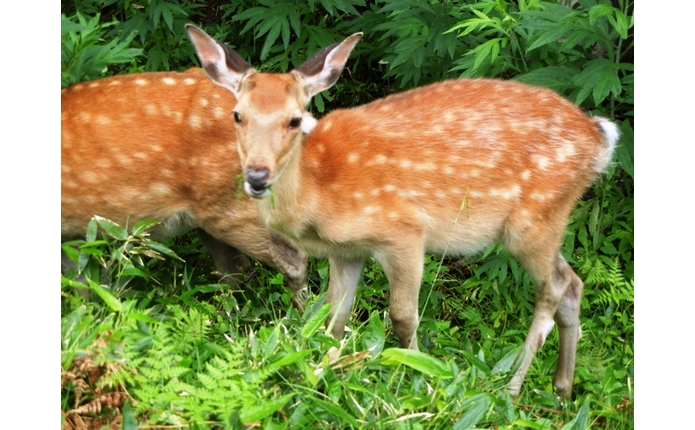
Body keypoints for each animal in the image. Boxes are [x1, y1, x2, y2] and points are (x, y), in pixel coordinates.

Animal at [185, 24, 620, 400]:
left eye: (294, 119)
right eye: (237, 115)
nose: (257, 176)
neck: (320, 192)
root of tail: (600, 138)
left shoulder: (405, 232)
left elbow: (402, 317)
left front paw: (422, 377)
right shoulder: (347, 252)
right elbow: (333, 318)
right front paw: (321, 373)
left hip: (533, 219)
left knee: (555, 285)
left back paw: (511, 388)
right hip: (547, 219)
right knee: (573, 282)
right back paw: (563, 391)